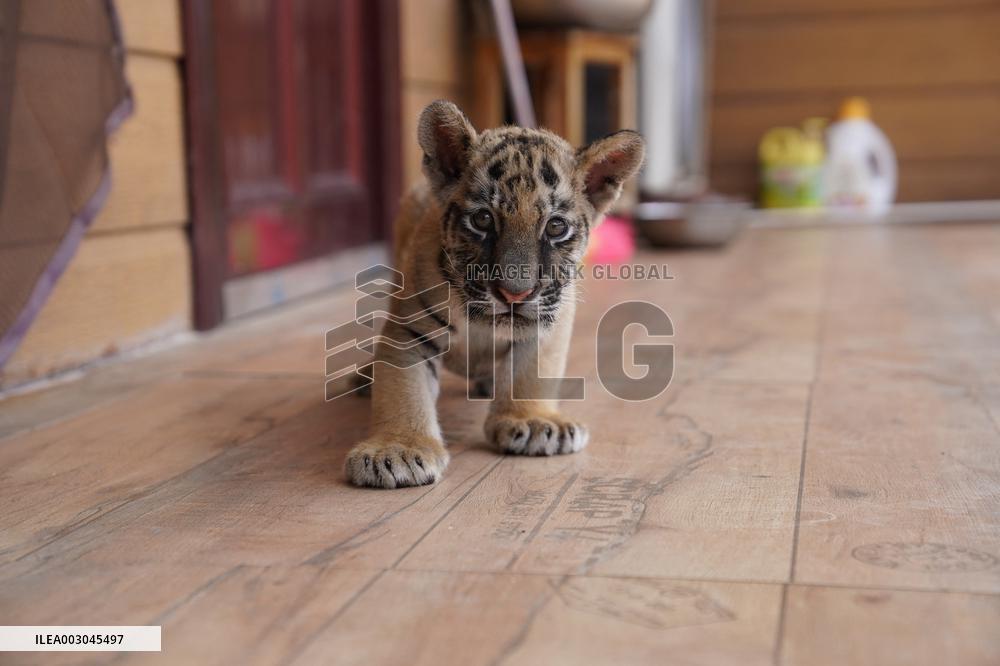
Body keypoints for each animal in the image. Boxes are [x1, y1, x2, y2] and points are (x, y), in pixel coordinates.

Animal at [344, 100, 645, 489]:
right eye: (483, 220)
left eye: (556, 227)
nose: (514, 294)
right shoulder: (409, 330)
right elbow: (402, 390)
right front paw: (396, 450)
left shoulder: (547, 322)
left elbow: (532, 373)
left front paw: (533, 421)